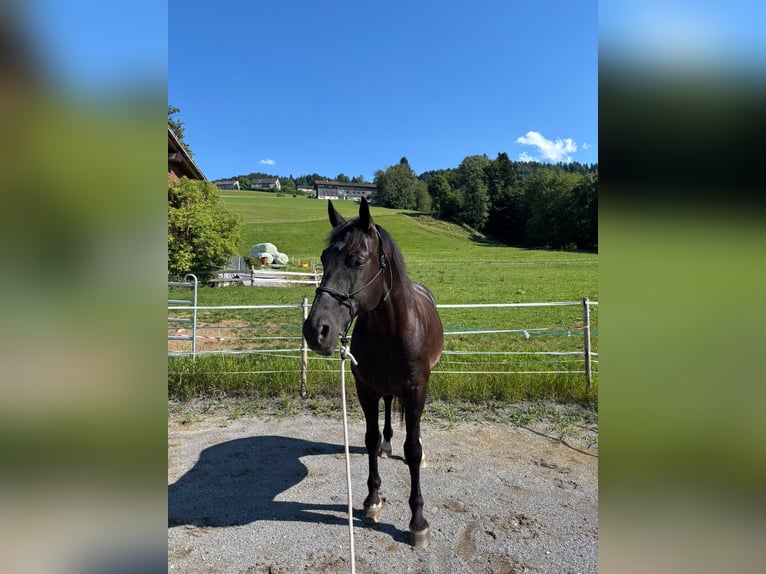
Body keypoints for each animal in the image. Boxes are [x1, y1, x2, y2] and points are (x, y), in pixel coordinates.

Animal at [302, 198, 444, 548]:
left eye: (357, 260)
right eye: (324, 258)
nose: (316, 330)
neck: (392, 330)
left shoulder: (416, 389)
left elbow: (413, 448)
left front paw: (417, 521)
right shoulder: (366, 389)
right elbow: (369, 438)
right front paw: (372, 500)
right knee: (388, 413)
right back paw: (387, 445)